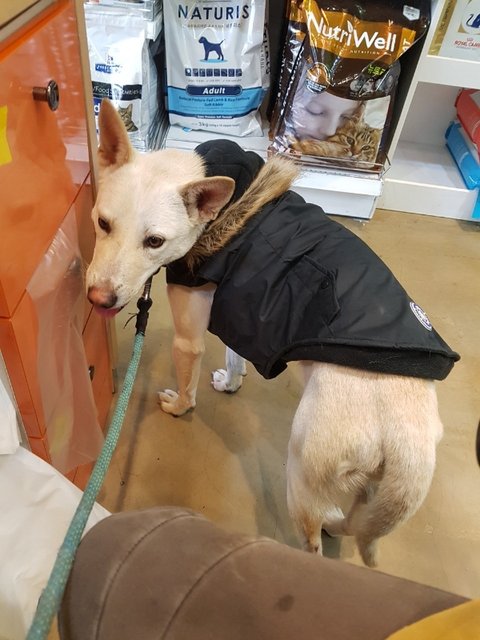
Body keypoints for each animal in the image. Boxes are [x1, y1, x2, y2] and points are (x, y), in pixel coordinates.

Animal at [86, 99, 458, 567]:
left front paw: (179, 406)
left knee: (314, 539)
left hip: (301, 475)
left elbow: (188, 384)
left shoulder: (188, 339)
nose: (98, 298)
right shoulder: (236, 306)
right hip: (370, 490)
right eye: (102, 223)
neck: (220, 206)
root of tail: (408, 442)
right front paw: (231, 382)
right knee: (354, 522)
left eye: (155, 241)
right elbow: (234, 354)